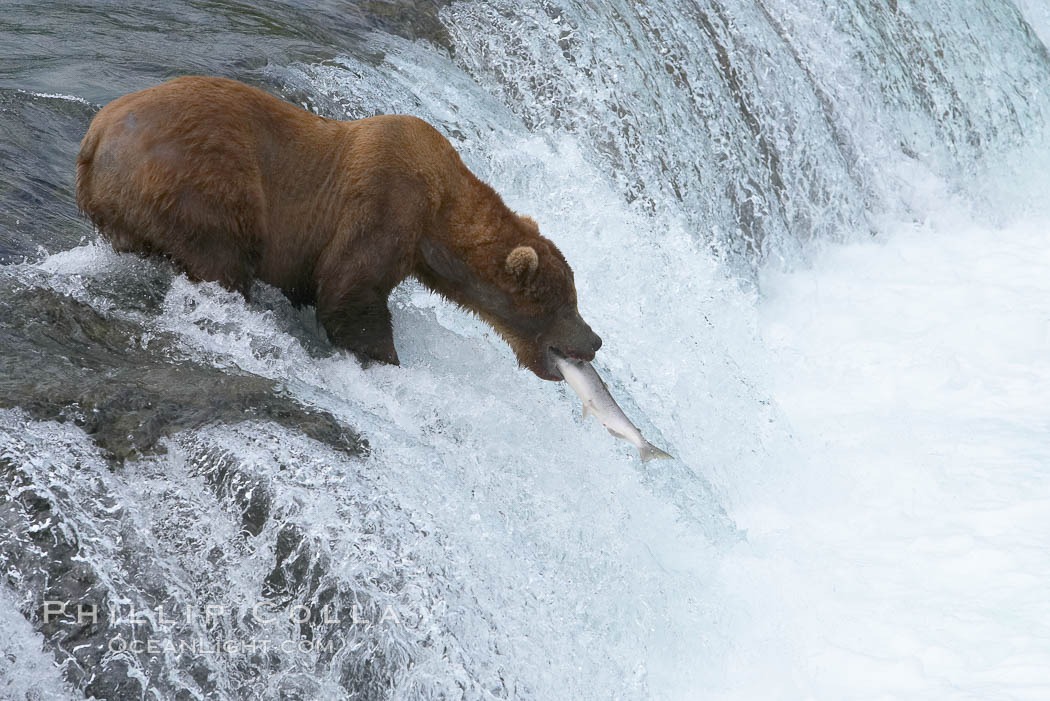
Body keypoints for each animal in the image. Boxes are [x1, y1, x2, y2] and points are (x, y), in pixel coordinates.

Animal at [76, 75, 600, 377]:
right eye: (563, 303)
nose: (594, 341)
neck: (436, 219)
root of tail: (97, 134)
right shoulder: (384, 205)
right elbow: (349, 293)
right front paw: (385, 358)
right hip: (198, 185)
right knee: (221, 259)